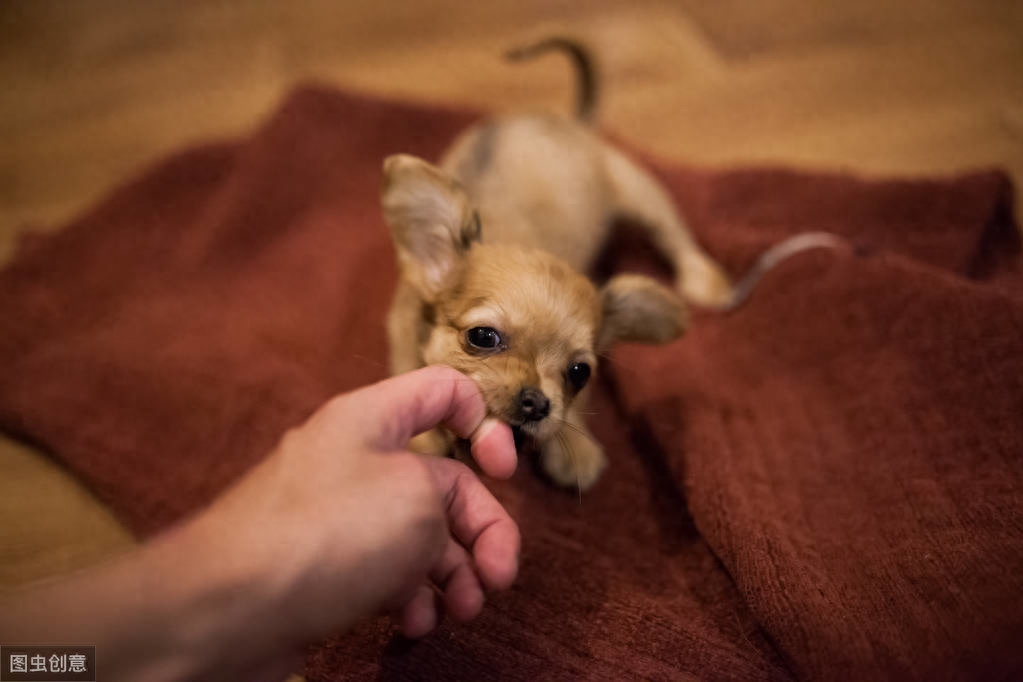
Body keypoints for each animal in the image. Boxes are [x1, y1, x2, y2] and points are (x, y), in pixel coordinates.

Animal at [384, 37, 838, 490]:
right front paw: (426, 433)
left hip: (641, 192)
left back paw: (705, 282)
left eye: (579, 372)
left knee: (676, 236)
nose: (536, 402)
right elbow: (407, 366)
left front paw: (576, 445)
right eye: (482, 337)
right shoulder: (403, 324)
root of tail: (573, 121)